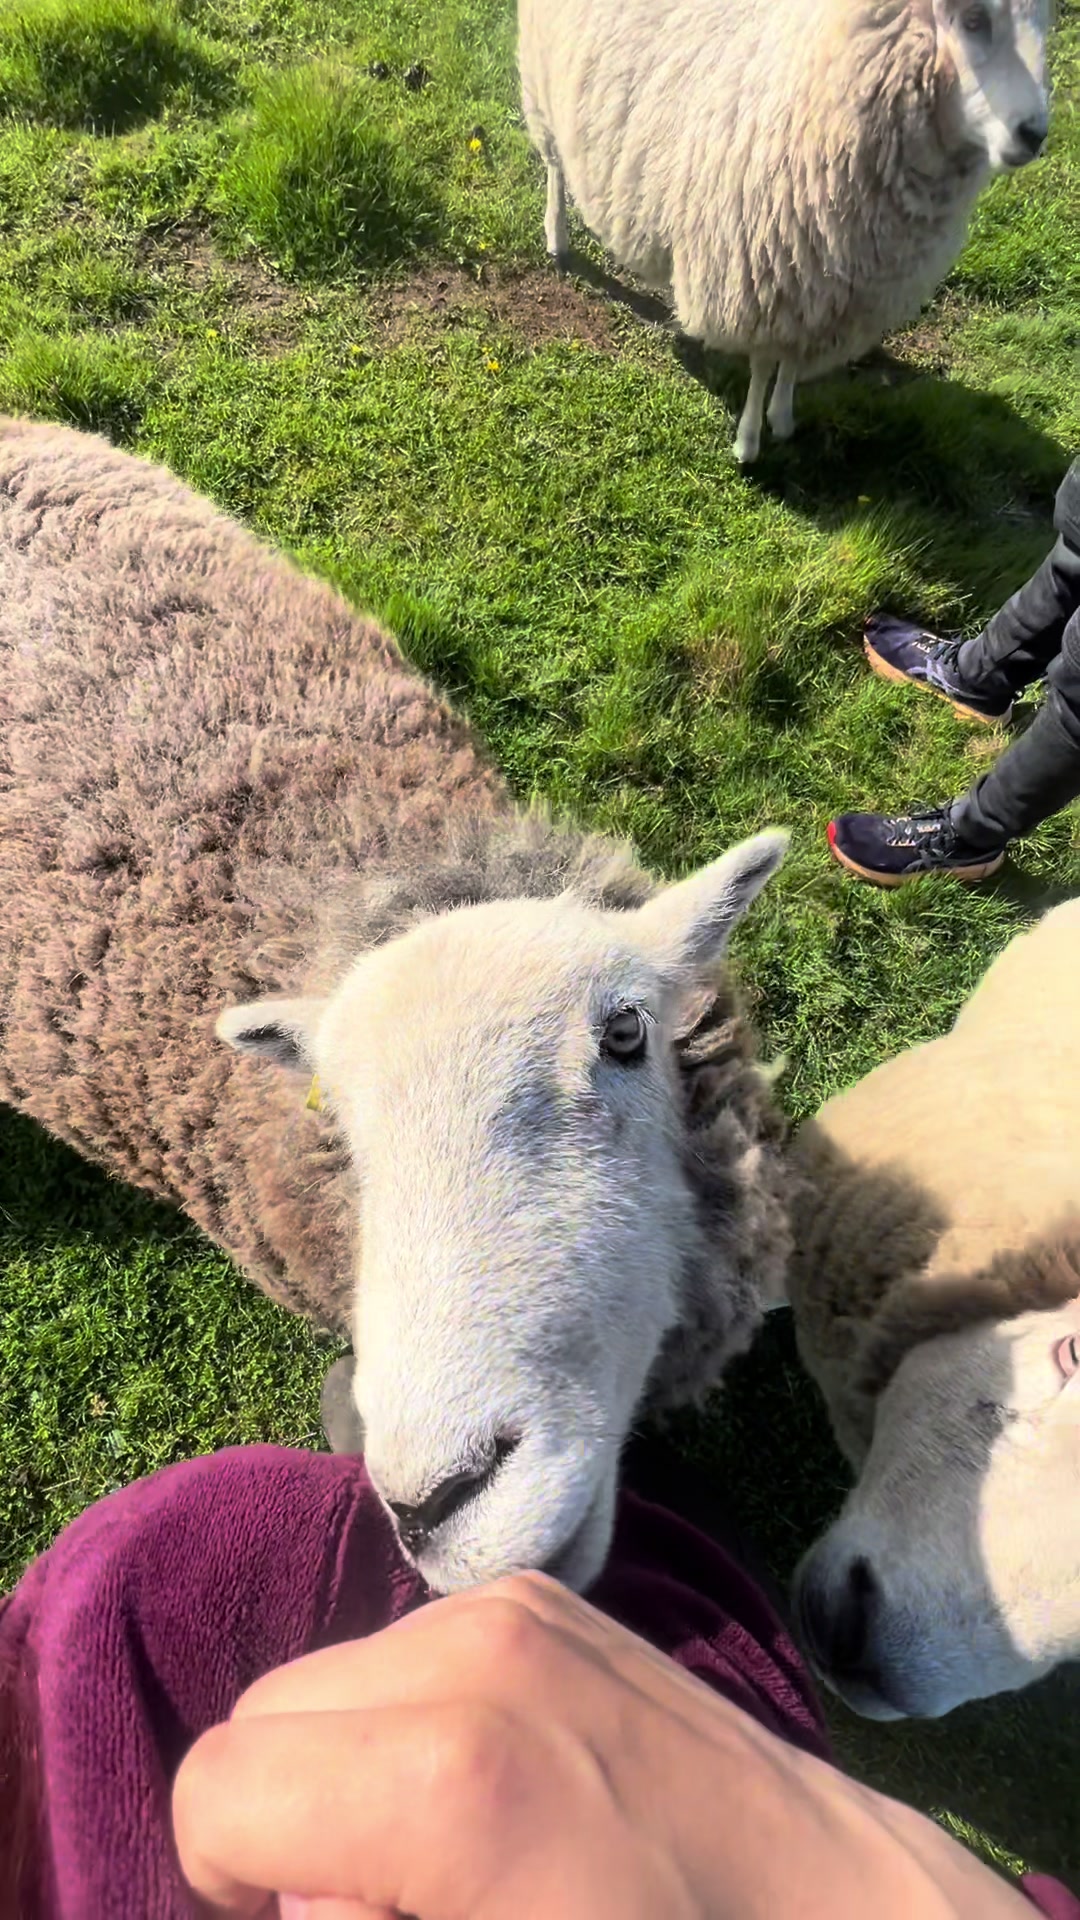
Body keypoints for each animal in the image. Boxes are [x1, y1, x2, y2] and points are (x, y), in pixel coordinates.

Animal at [518, 0, 1052, 462]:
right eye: (974, 19)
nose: (1034, 135)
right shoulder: (759, 266)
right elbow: (760, 363)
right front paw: (749, 440)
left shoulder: (823, 283)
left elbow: (792, 358)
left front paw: (784, 416)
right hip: (541, 85)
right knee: (554, 166)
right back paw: (557, 237)